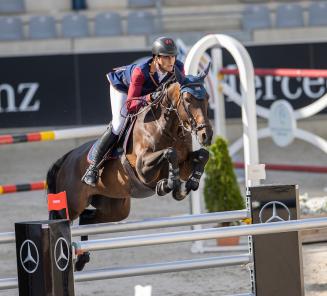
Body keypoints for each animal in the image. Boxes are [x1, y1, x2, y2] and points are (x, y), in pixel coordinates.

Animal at [46, 65, 215, 270]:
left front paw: (186, 186)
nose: (206, 135)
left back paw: (81, 259)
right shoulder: (143, 169)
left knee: (86, 218)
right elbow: (170, 153)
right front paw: (168, 185)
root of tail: (65, 159)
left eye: (206, 98)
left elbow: (202, 156)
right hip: (70, 204)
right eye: (188, 99)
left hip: (115, 207)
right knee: (61, 221)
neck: (167, 127)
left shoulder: (185, 164)